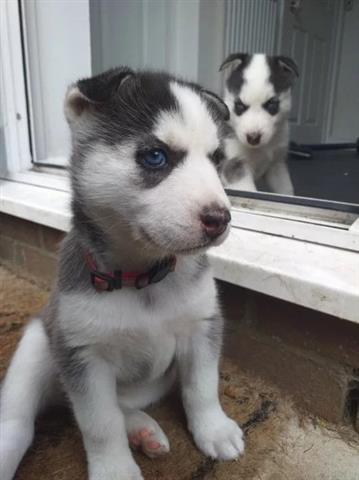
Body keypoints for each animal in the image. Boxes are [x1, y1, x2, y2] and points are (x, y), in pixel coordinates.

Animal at [221, 53, 300, 195]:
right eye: (239, 105)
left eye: (271, 105)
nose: (253, 137)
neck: (260, 149)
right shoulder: (235, 165)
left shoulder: (276, 165)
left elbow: (286, 190)